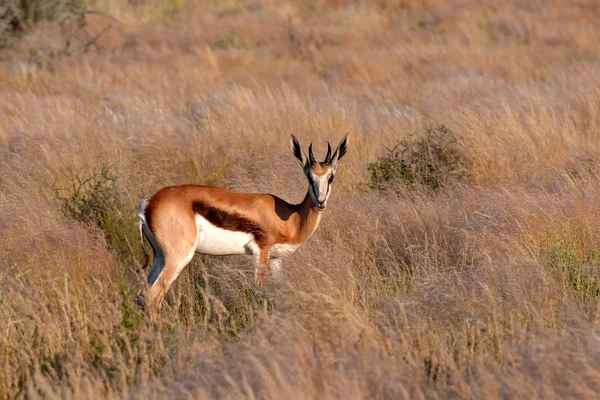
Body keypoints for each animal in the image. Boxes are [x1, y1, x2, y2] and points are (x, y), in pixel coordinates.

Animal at [137, 134, 346, 318]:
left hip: (160, 257)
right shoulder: (261, 252)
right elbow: (259, 293)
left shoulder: (276, 259)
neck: (291, 217)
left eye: (331, 177)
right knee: (153, 295)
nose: (321, 201)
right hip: (178, 257)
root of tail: (148, 203)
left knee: (142, 294)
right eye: (309, 177)